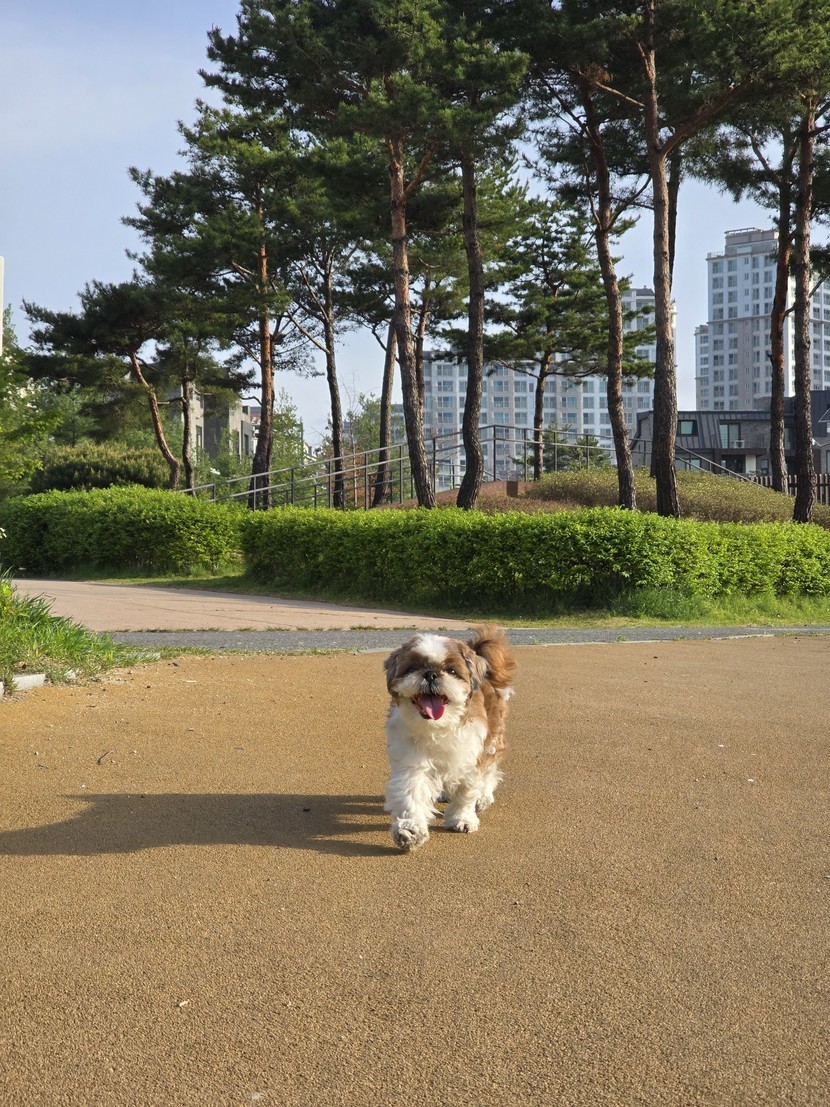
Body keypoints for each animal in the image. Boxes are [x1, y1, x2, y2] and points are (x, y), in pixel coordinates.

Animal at [383, 625, 517, 852]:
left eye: (452, 671)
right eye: (412, 668)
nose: (430, 674)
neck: (438, 727)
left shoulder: (471, 758)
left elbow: (467, 792)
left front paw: (462, 819)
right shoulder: (412, 762)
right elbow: (411, 794)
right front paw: (410, 830)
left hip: (493, 739)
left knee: (490, 771)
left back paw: (484, 795)